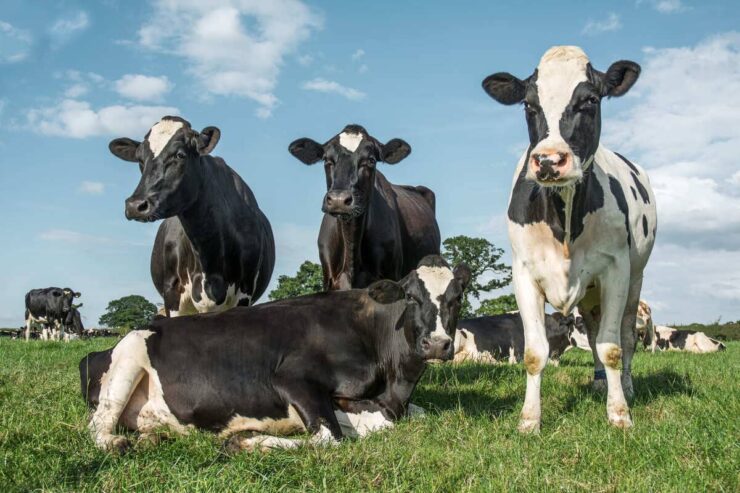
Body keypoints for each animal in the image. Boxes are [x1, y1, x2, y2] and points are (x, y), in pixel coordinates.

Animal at [79, 256, 470, 453]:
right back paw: (117, 442)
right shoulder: (292, 378)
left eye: (457, 297)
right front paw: (247, 440)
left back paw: (152, 437)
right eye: (411, 297)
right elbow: (330, 438)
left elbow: (408, 416)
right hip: (129, 358)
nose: (437, 344)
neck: (396, 384)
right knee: (98, 427)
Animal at [482, 45, 657, 431]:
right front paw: (529, 420)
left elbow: (612, 348)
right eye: (529, 104)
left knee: (625, 337)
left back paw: (625, 386)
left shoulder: (616, 270)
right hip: (590, 293)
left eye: (590, 100)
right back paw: (598, 382)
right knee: (591, 332)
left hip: (635, 280)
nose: (549, 161)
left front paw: (619, 413)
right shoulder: (523, 272)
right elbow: (535, 353)